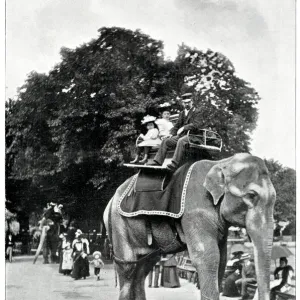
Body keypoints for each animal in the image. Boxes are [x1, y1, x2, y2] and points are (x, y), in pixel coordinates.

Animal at [103, 154, 276, 300]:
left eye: (274, 198)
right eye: (251, 195)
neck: (221, 163)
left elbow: (222, 258)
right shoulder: (195, 211)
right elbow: (209, 257)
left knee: (143, 267)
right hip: (118, 223)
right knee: (128, 268)